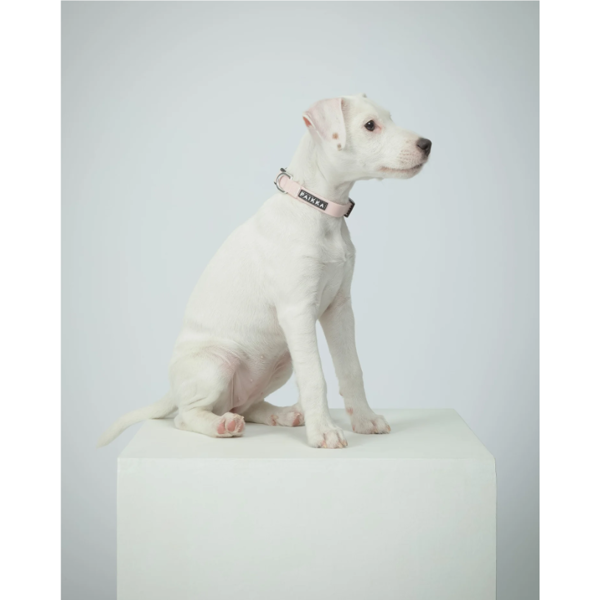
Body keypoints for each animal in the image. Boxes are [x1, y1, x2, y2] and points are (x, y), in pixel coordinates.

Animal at [98, 94, 431, 449]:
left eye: (389, 118)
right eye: (370, 125)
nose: (427, 144)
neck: (318, 209)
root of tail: (171, 389)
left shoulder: (340, 308)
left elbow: (351, 369)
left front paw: (365, 421)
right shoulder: (297, 312)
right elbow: (315, 377)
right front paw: (324, 432)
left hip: (280, 362)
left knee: (247, 404)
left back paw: (284, 414)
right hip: (217, 363)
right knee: (186, 416)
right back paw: (223, 425)